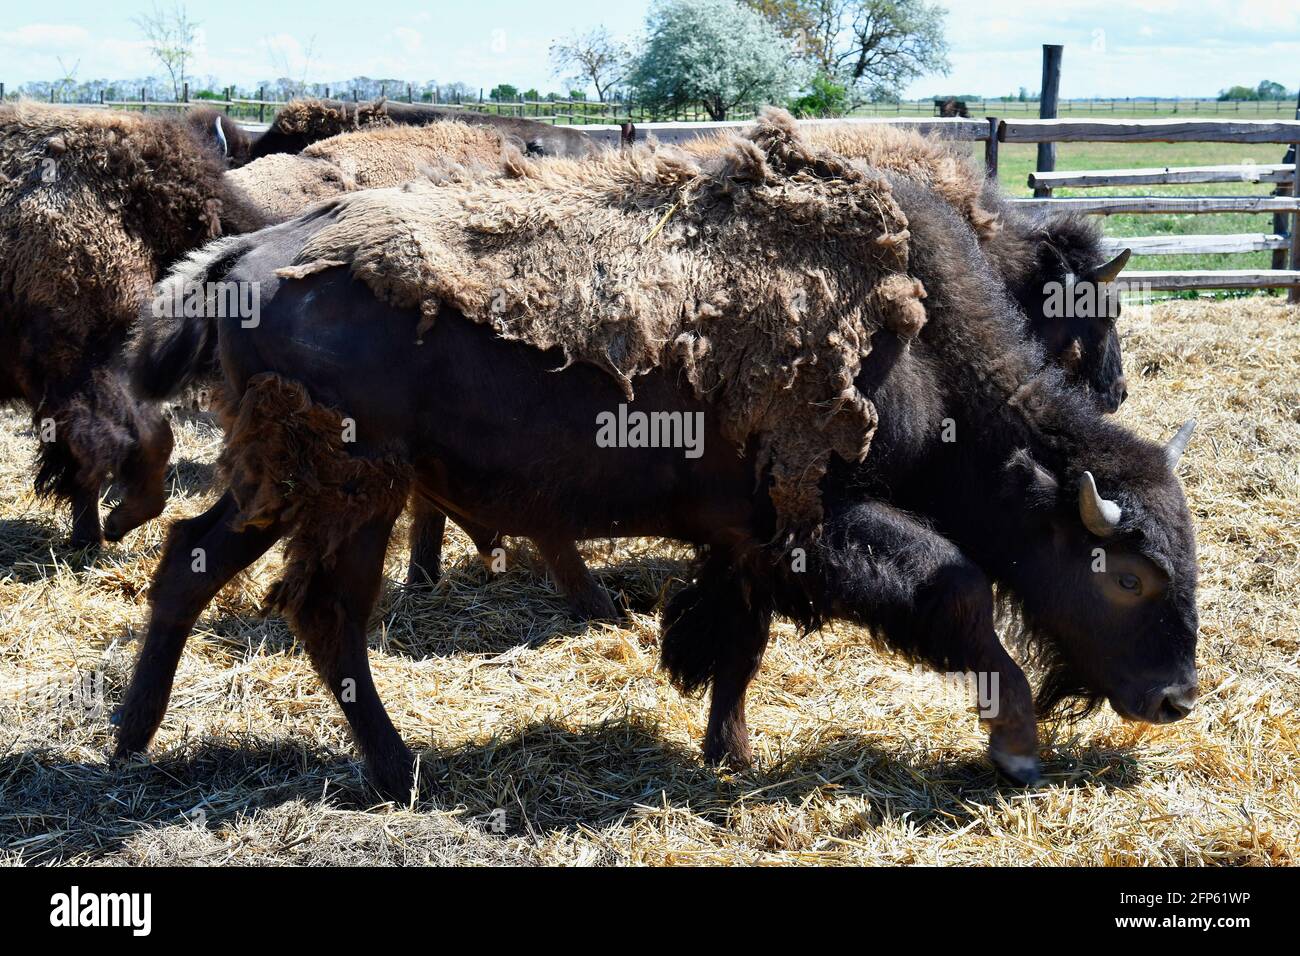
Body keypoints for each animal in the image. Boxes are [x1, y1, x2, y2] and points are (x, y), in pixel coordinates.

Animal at [116, 121, 1201, 801]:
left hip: (284, 484)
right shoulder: (824, 520)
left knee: (193, 562)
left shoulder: (753, 538)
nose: (1174, 697)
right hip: (349, 490)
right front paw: (1016, 747)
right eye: (1129, 574)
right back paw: (397, 770)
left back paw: (134, 737)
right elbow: (960, 590)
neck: (923, 340)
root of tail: (243, 260)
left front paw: (728, 749)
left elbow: (740, 641)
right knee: (326, 612)